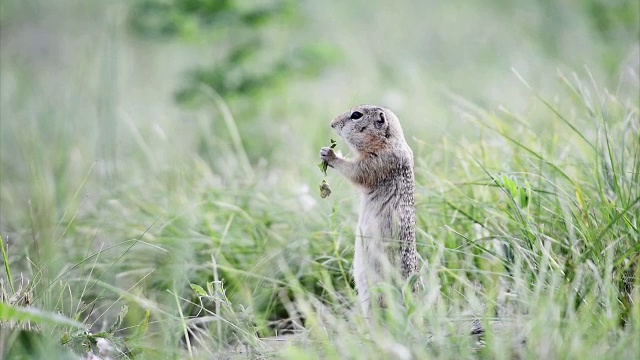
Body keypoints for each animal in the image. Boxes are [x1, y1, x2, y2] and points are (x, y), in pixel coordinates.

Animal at [320, 104, 420, 316]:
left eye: (356, 115)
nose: (332, 124)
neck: (389, 139)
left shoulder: (379, 161)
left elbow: (357, 172)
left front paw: (329, 154)